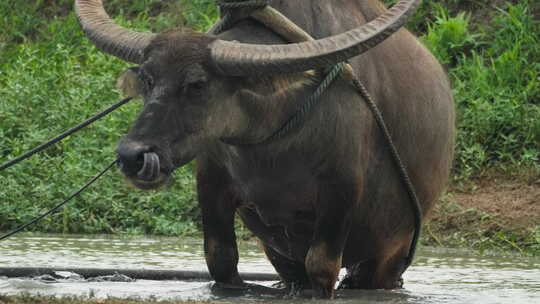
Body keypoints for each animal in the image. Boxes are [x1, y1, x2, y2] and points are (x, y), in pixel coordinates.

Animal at [75, 0, 456, 300]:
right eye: (148, 80)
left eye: (197, 84)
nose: (133, 155)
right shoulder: (212, 183)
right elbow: (220, 258)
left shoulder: (341, 191)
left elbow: (322, 266)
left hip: (391, 253)